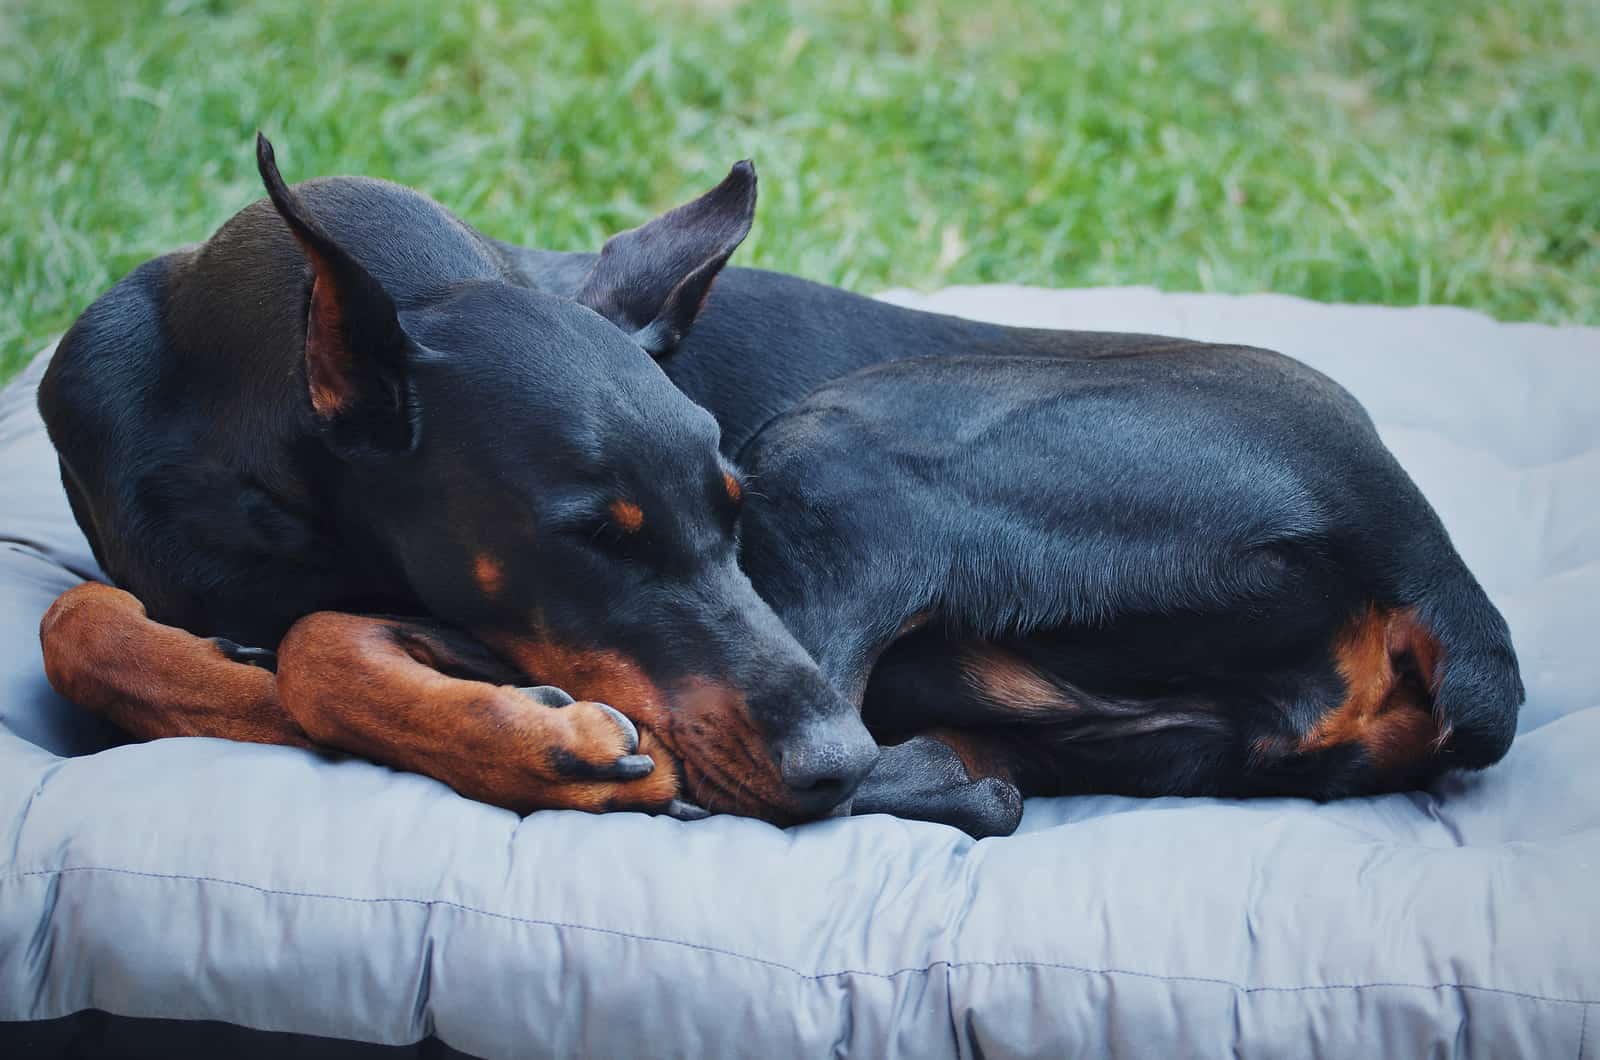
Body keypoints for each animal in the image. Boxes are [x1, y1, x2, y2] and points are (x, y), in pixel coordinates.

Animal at [34, 135, 1510, 839]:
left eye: (728, 515)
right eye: (592, 535)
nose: (824, 756)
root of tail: (1429, 552)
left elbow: (318, 643)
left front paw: (526, 741)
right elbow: (79, 620)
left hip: (847, 446)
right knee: (958, 768)